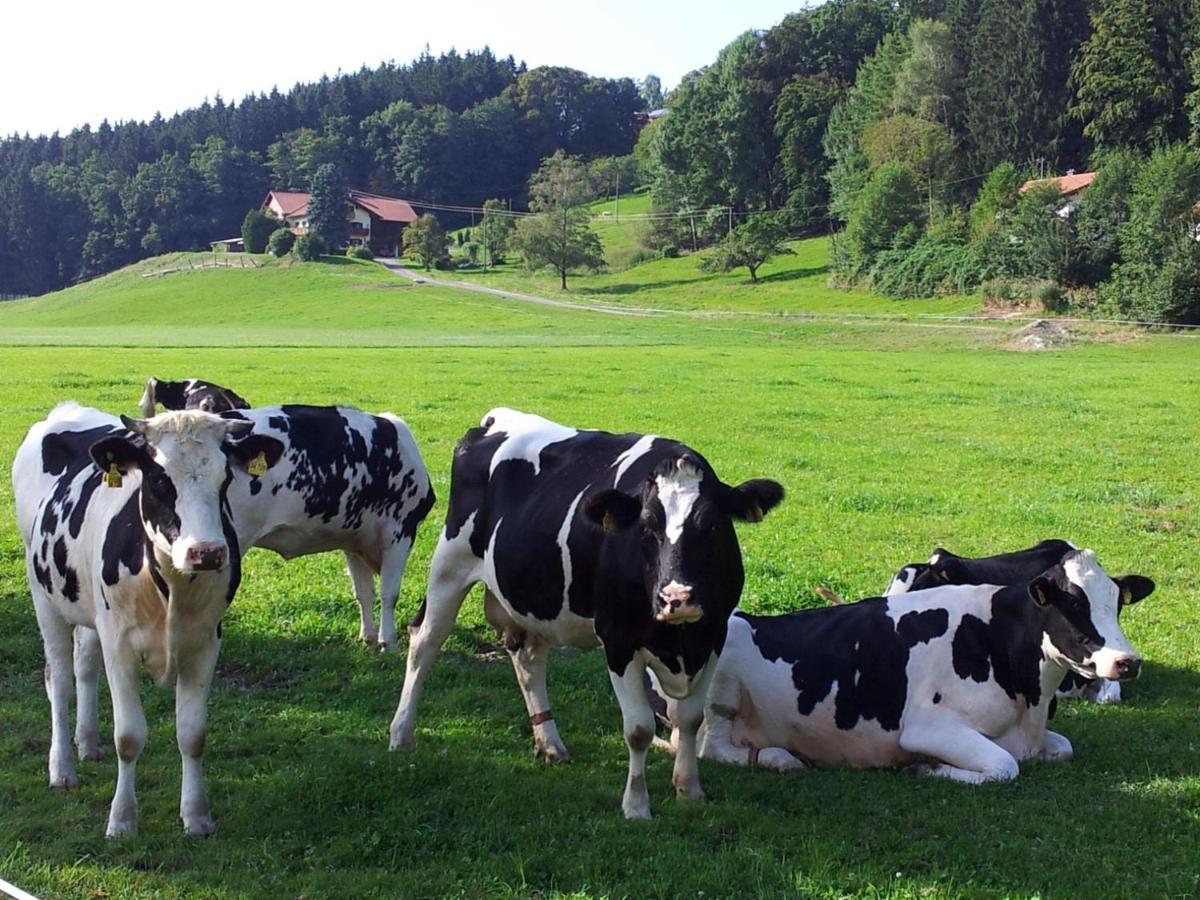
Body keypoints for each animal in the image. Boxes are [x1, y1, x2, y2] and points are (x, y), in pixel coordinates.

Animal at [13, 403, 283, 840]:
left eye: (226, 478)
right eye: (159, 480)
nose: (207, 552)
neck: (169, 583)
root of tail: (68, 410)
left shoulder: (205, 642)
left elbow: (192, 734)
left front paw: (196, 816)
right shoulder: (120, 644)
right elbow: (128, 736)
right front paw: (122, 820)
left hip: (89, 611)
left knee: (84, 665)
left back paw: (87, 743)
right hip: (45, 598)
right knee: (60, 680)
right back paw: (63, 768)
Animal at [388, 412, 787, 820]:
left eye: (711, 526)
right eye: (646, 527)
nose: (677, 598)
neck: (678, 643)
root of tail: (495, 418)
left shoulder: (712, 636)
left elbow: (690, 718)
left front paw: (689, 789)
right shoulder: (619, 639)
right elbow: (639, 729)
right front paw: (636, 805)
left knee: (528, 658)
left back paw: (550, 744)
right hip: (449, 564)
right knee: (425, 642)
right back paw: (401, 734)